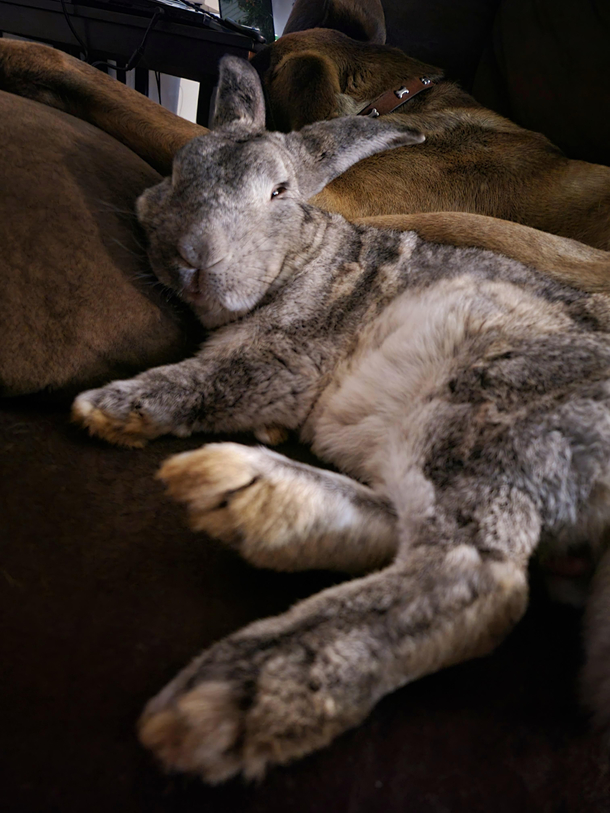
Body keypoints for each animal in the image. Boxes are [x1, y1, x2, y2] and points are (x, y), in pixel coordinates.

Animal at [73, 57, 608, 780]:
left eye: (278, 192)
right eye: (181, 170)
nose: (192, 258)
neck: (304, 255)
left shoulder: (280, 357)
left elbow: (200, 383)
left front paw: (105, 408)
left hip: (486, 407)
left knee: (478, 578)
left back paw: (232, 692)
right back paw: (243, 497)